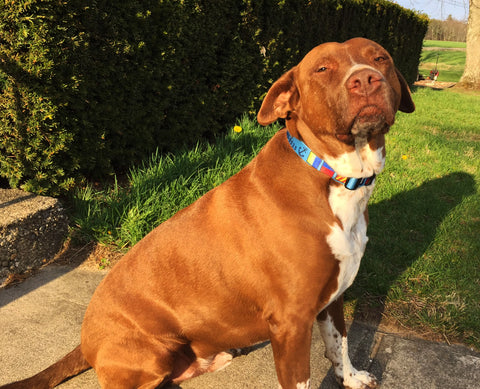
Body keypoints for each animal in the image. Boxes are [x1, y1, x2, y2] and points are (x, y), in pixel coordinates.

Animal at [0, 38, 414, 388]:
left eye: (380, 57)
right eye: (322, 68)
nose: (366, 78)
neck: (332, 176)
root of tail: (84, 341)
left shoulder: (333, 297)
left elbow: (338, 345)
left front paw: (352, 378)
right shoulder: (291, 322)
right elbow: (302, 377)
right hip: (151, 353)